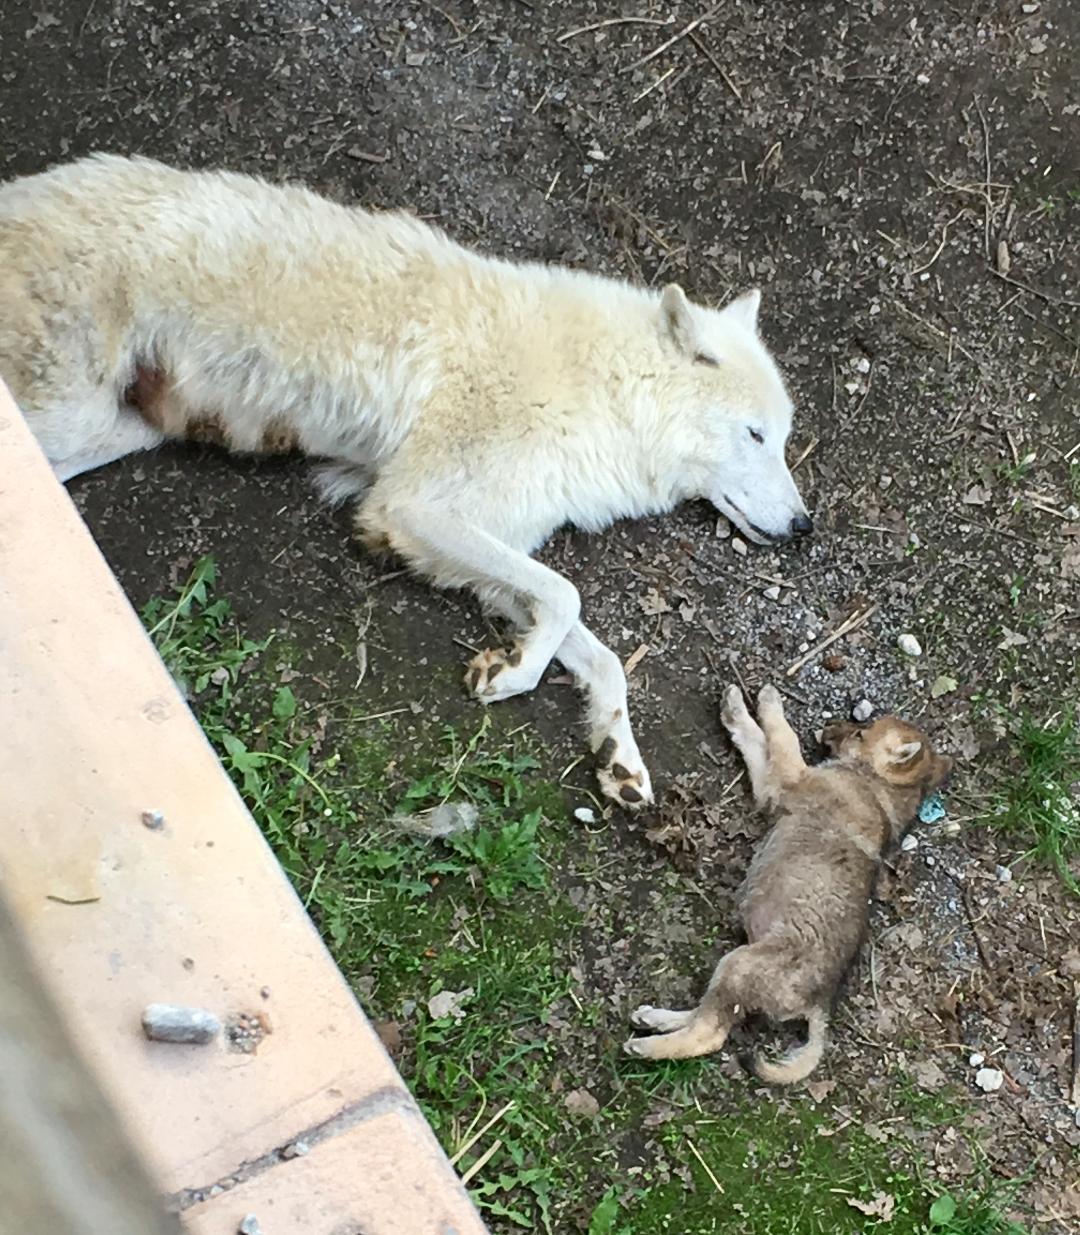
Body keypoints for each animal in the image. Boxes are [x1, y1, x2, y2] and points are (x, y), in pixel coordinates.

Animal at [0, 155, 811, 807]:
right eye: (755, 435)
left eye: (783, 438)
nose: (805, 527)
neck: (604, 395)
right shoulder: (413, 509)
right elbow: (567, 594)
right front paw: (512, 676)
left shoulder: (480, 543)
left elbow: (597, 649)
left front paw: (619, 756)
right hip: (65, 418)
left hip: (113, 432)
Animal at [624, 685, 952, 1081]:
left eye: (860, 733)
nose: (827, 731)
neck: (876, 785)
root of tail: (819, 1004)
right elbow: (759, 741)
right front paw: (740, 705)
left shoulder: (785, 779)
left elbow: (777, 737)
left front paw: (760, 703)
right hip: (734, 972)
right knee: (709, 1012)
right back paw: (654, 1018)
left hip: (739, 964)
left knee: (711, 1032)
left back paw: (646, 1047)